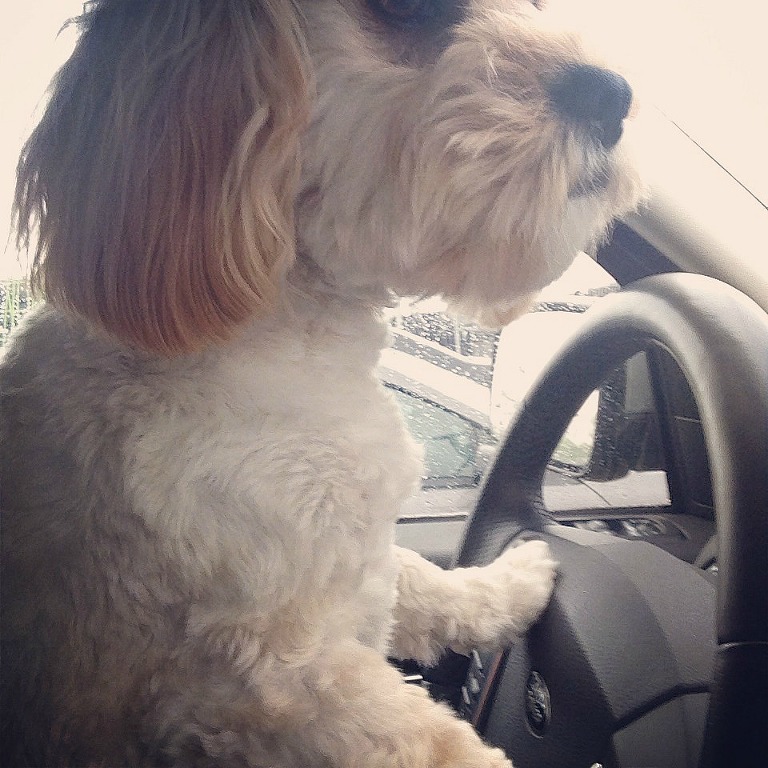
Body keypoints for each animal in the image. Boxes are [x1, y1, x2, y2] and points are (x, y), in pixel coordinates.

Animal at [0, 0, 640, 764]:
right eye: (408, 11)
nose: (614, 94)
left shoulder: (358, 558)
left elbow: (423, 582)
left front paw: (508, 582)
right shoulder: (273, 674)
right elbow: (434, 743)